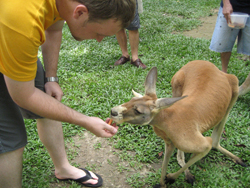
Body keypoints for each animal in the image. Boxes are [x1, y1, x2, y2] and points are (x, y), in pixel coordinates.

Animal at [110, 60, 246, 188]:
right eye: (131, 100)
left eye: (138, 111)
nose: (113, 112)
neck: (166, 119)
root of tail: (207, 63)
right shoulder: (169, 141)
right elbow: (165, 162)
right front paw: (162, 183)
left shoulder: (199, 142)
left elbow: (208, 144)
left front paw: (171, 178)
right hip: (176, 83)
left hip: (234, 86)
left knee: (215, 140)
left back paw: (237, 159)